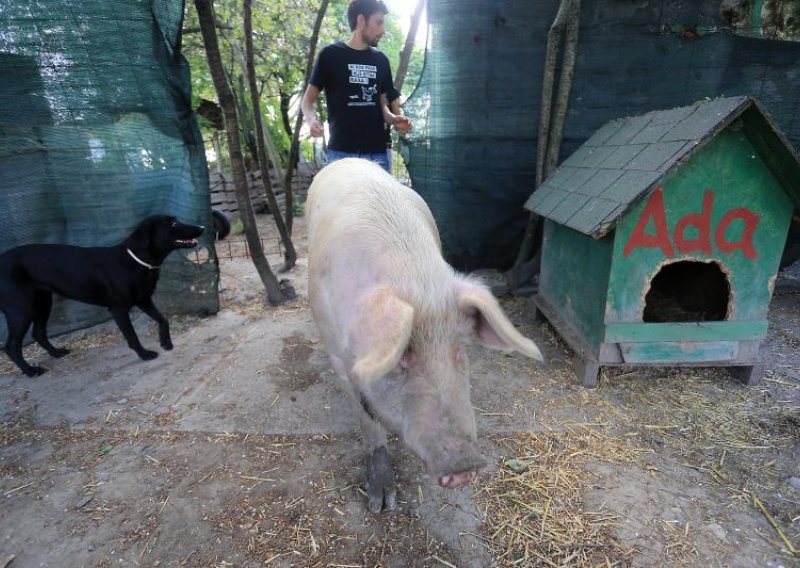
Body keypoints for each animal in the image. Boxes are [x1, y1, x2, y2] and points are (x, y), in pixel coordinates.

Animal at [0, 215, 203, 374]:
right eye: (173, 224)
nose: (202, 227)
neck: (135, 261)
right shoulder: (119, 309)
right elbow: (132, 336)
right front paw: (144, 354)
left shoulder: (143, 300)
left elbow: (163, 320)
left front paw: (166, 343)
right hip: (22, 310)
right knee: (11, 346)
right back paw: (30, 371)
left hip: (42, 303)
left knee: (38, 333)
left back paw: (56, 353)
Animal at [306, 158, 544, 512]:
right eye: (402, 355)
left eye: (460, 350)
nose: (467, 464)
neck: (416, 281)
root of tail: (349, 158)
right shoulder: (336, 352)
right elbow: (367, 418)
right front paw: (381, 505)